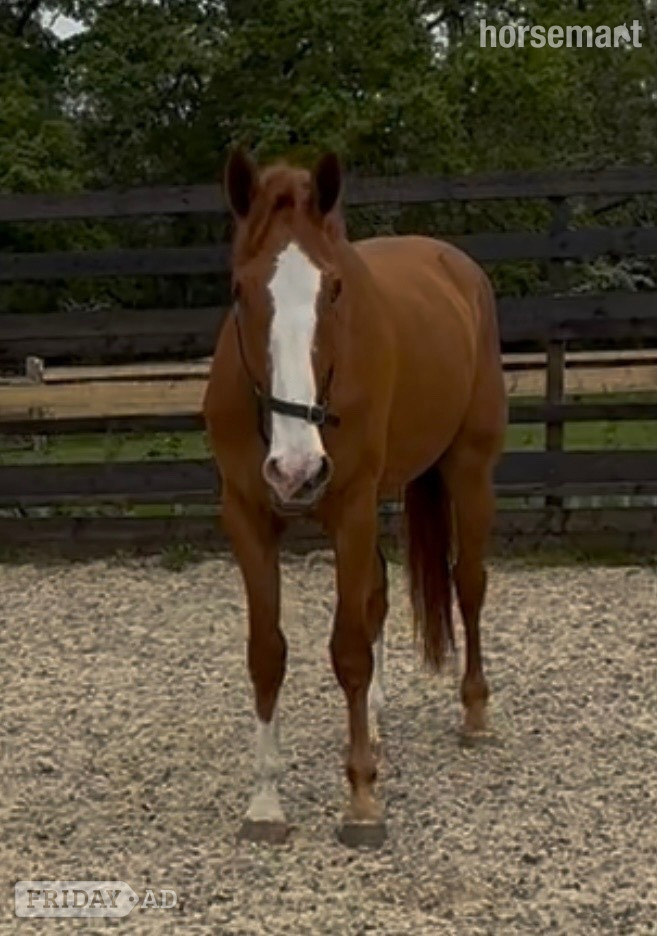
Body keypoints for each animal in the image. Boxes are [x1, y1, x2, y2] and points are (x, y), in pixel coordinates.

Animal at [203, 148, 507, 847]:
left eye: (335, 289)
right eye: (239, 290)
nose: (296, 468)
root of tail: (455, 267)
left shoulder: (351, 509)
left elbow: (347, 649)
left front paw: (362, 798)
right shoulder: (248, 517)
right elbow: (268, 653)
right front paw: (266, 802)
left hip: (468, 471)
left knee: (467, 583)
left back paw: (475, 712)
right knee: (381, 596)